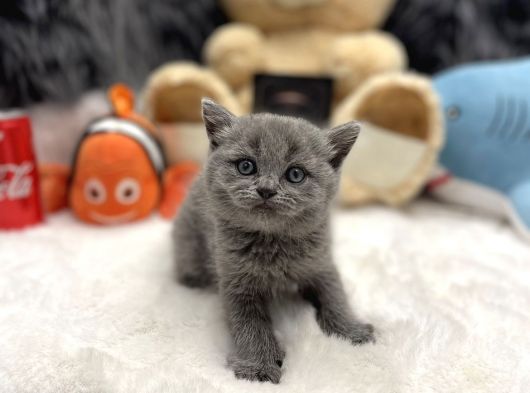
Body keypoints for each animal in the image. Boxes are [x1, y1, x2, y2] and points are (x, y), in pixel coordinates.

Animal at [171, 98, 374, 382]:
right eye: (246, 166)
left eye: (296, 174)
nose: (266, 189)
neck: (273, 243)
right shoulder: (234, 280)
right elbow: (250, 324)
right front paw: (259, 367)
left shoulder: (320, 261)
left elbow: (335, 295)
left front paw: (352, 331)